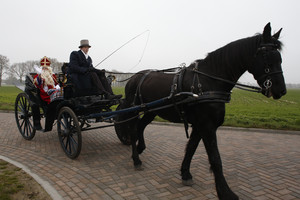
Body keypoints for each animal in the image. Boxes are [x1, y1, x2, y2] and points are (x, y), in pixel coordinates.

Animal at [115, 22, 286, 199]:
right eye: (266, 55)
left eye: (280, 58)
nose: (281, 90)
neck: (208, 82)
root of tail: (134, 77)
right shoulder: (207, 126)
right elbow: (215, 159)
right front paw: (225, 192)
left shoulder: (199, 125)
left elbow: (191, 149)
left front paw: (185, 174)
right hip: (135, 110)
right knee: (133, 129)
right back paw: (136, 159)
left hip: (151, 111)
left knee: (140, 127)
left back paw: (140, 149)